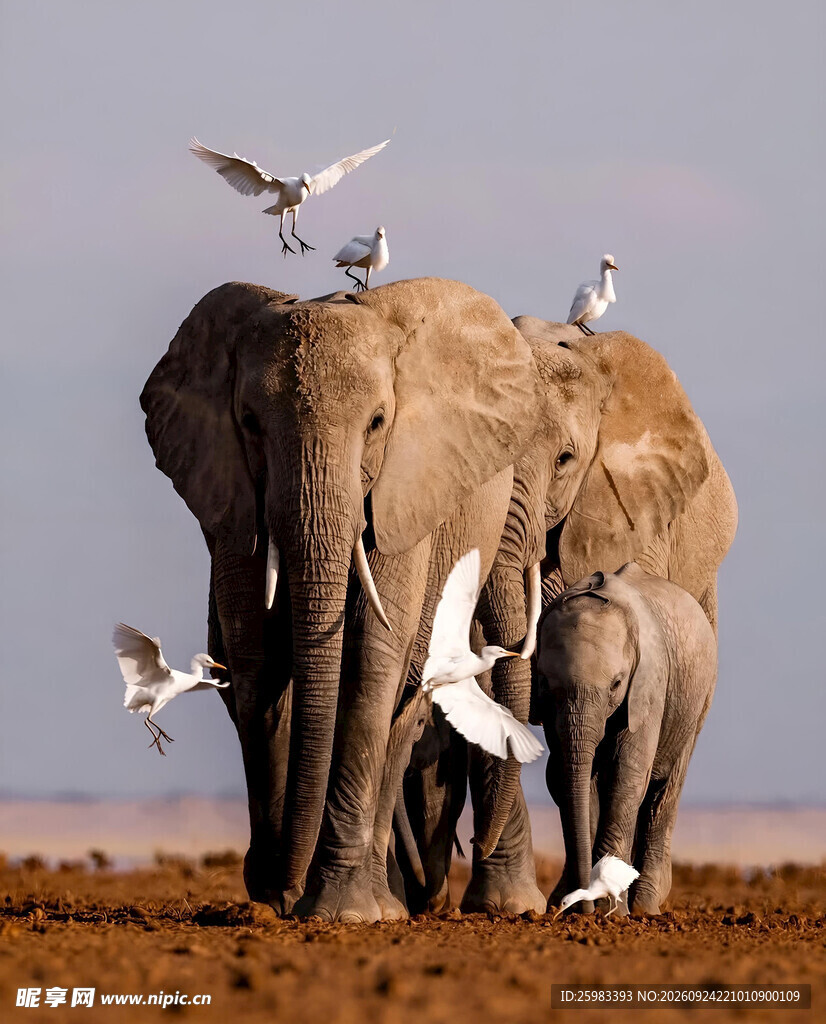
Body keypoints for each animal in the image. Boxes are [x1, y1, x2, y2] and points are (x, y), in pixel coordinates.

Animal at [140, 276, 539, 921]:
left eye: (377, 422)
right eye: (248, 422)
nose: (283, 886)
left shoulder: (406, 491)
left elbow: (371, 663)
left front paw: (340, 912)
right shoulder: (232, 501)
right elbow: (257, 664)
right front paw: (274, 897)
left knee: (405, 700)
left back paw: (386, 903)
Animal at [535, 562, 718, 915]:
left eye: (616, 684)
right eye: (548, 684)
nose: (581, 908)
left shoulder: (649, 681)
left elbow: (628, 775)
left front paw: (614, 914)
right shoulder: (550, 710)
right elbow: (571, 777)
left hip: (698, 701)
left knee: (666, 791)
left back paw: (646, 907)